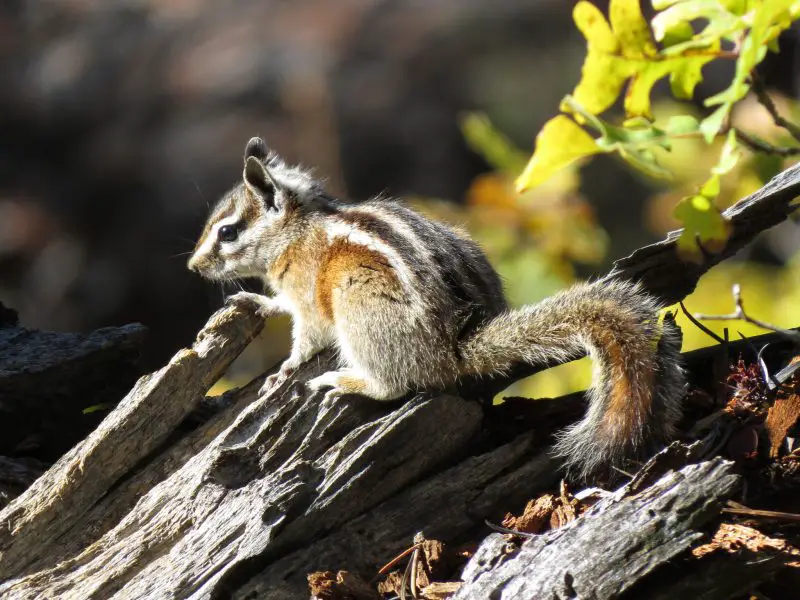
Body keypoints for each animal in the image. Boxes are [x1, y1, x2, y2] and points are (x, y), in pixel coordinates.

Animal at [187, 136, 686, 477]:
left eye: (228, 232)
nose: (193, 266)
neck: (298, 229)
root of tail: (453, 350)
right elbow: (279, 307)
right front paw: (256, 300)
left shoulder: (309, 297)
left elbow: (305, 335)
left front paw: (286, 369)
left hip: (359, 304)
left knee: (393, 385)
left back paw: (344, 380)